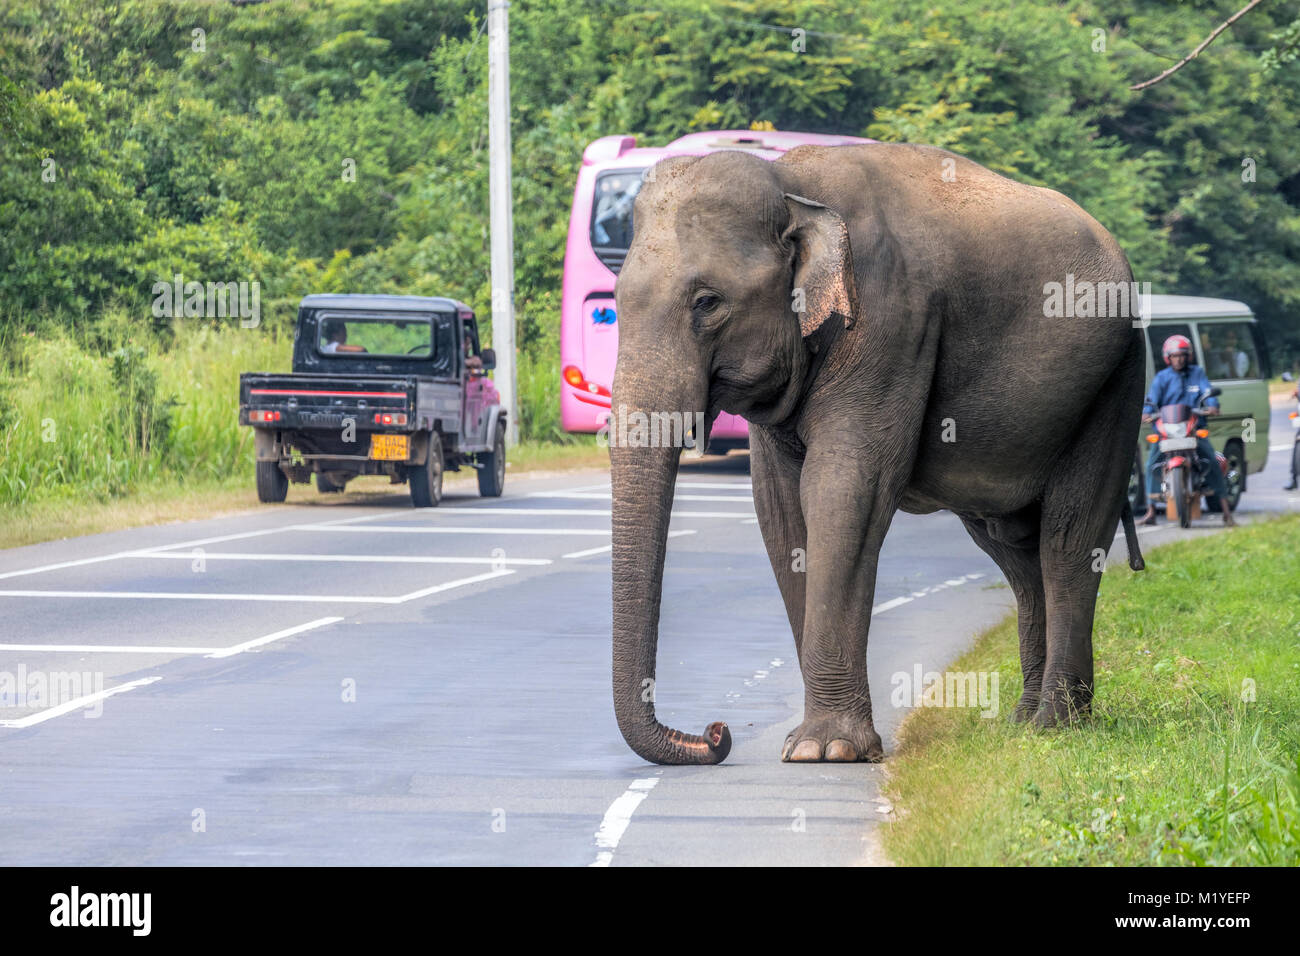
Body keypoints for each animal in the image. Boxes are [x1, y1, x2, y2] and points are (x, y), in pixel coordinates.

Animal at [608, 141, 1149, 764]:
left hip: (1116, 378)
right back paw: (1023, 720)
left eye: (707, 302)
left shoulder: (891, 325)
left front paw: (826, 750)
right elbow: (780, 510)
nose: (716, 733)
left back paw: (1056, 727)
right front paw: (808, 744)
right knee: (1014, 551)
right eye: (616, 302)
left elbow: (845, 489)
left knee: (1069, 541)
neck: (789, 179)